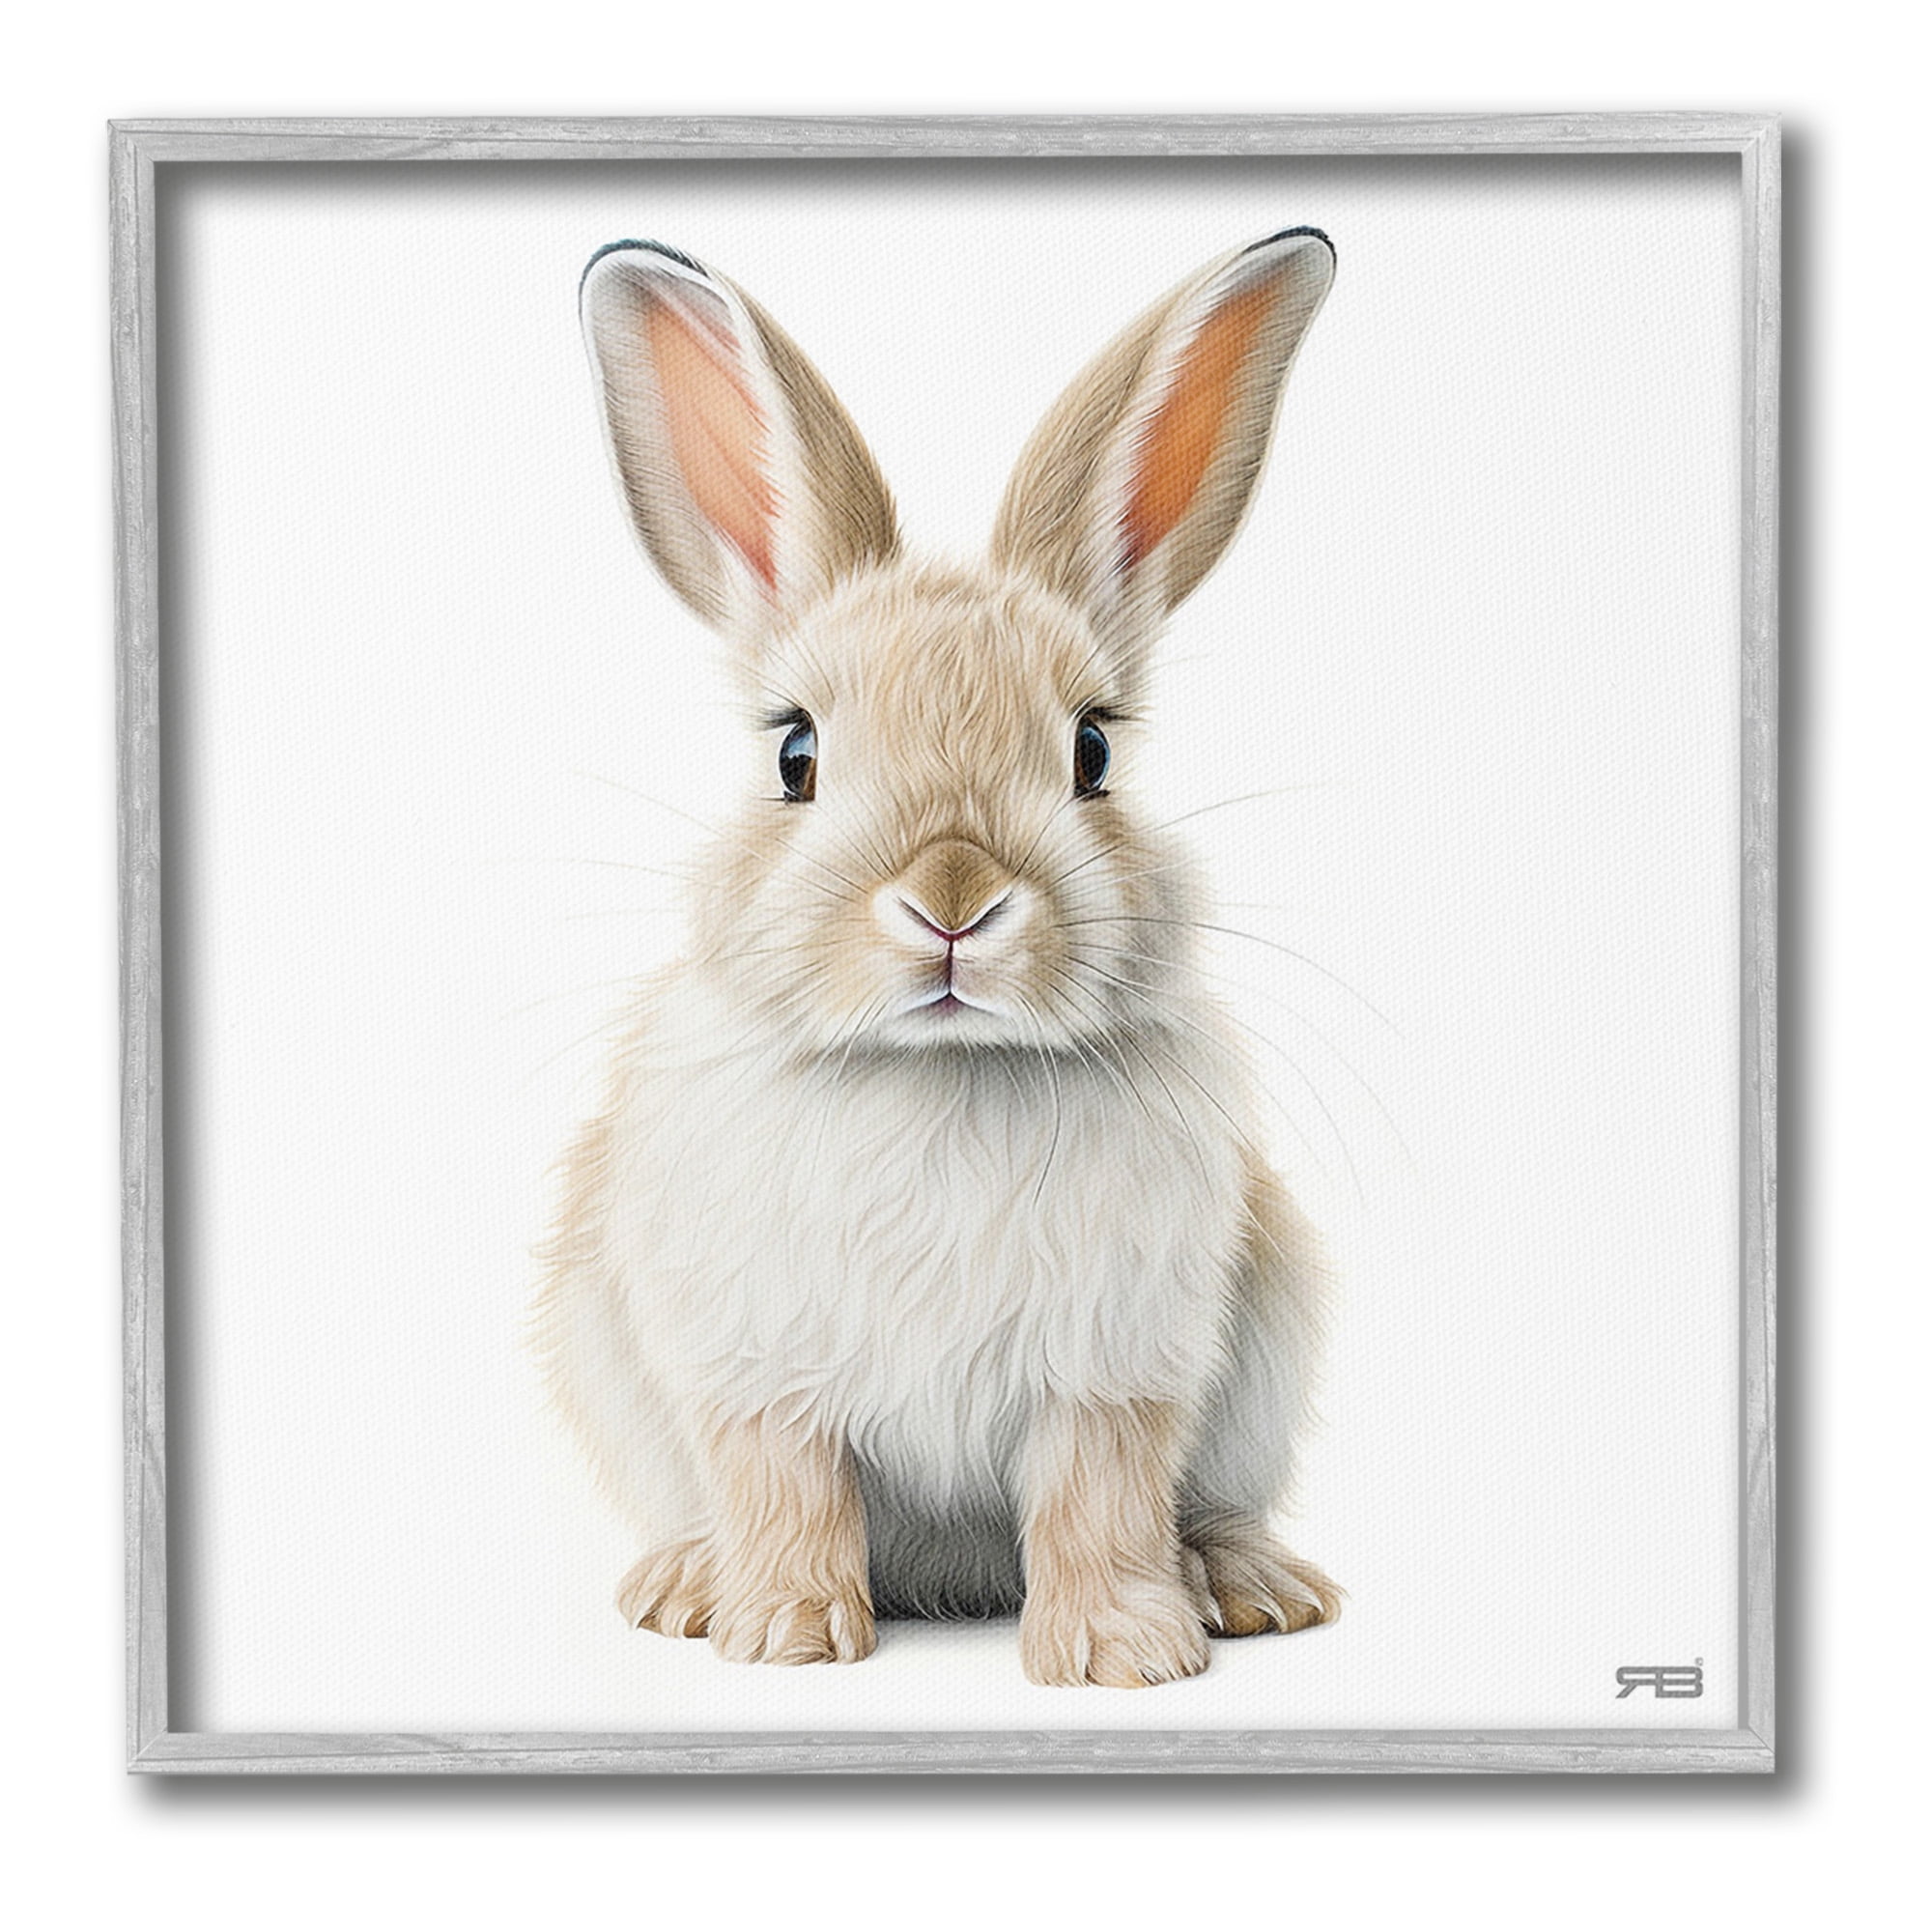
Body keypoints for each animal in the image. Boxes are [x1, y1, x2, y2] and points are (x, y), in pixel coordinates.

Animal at [534, 228, 1342, 1687]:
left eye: (1092, 750)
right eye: (795, 754)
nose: (951, 899)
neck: (940, 1068)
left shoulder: (1115, 1368)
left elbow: (1099, 1499)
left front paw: (1122, 1655)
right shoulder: (755, 1369)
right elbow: (785, 1487)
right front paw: (785, 1636)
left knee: (1205, 1507)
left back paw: (1246, 1587)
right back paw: (685, 1584)